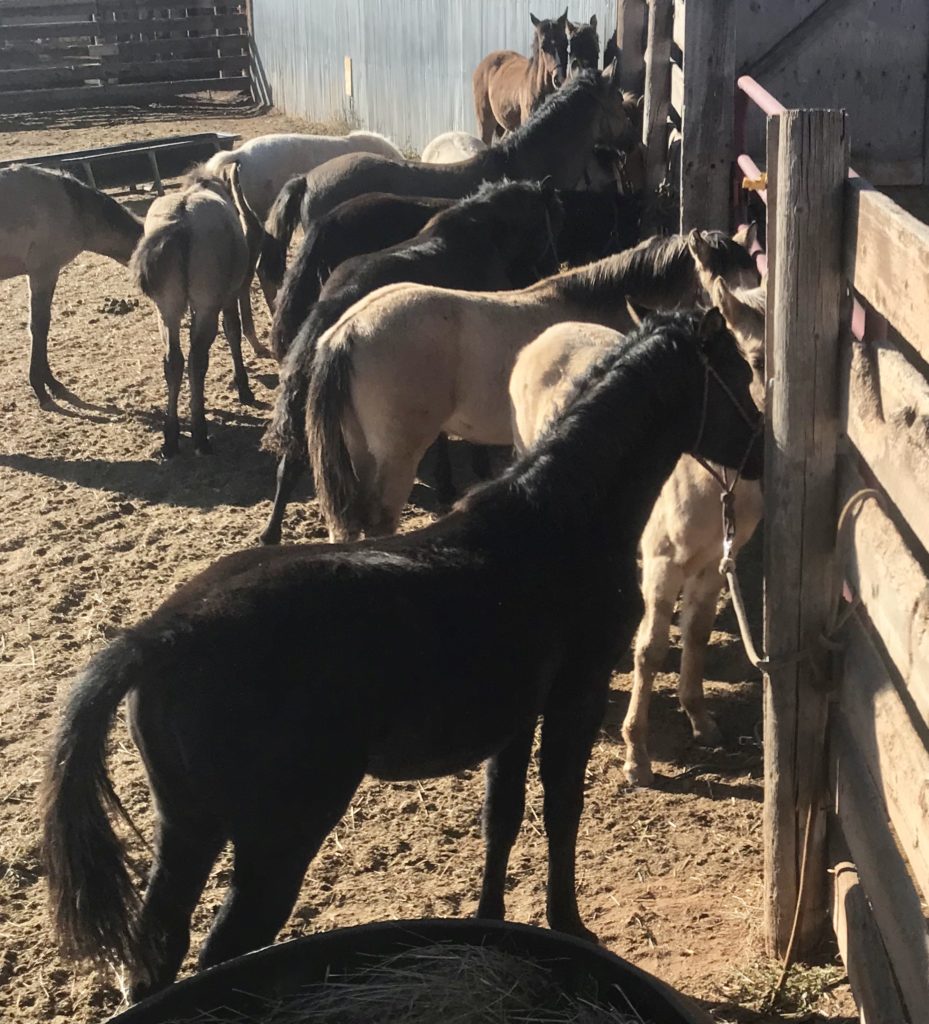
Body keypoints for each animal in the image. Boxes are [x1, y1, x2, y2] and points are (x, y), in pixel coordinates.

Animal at [43, 305, 762, 999]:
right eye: (740, 374)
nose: (760, 455)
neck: (559, 520)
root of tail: (160, 636)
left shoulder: (512, 719)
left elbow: (501, 818)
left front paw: (491, 924)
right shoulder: (573, 700)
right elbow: (561, 810)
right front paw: (569, 924)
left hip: (188, 830)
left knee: (155, 955)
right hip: (278, 837)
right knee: (222, 950)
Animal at [129, 167, 250, 456]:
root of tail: (180, 220)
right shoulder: (229, 297)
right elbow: (233, 332)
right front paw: (243, 386)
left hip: (167, 309)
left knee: (173, 361)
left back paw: (171, 437)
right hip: (207, 307)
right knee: (197, 360)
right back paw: (200, 434)